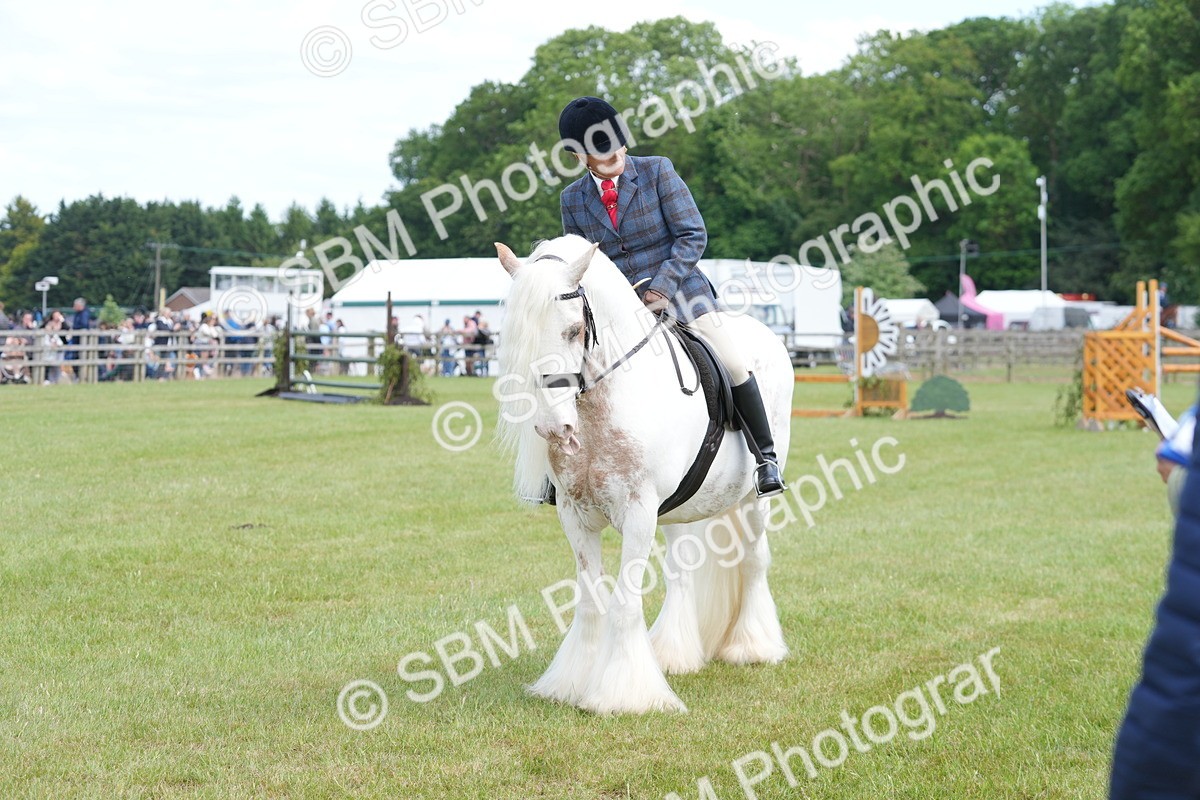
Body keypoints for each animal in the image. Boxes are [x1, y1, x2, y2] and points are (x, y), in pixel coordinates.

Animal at [494, 234, 793, 714]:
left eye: (574, 331)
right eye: (519, 336)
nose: (554, 428)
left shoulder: (637, 512)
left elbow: (623, 605)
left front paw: (624, 694)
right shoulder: (575, 516)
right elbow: (591, 601)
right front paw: (572, 683)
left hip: (751, 499)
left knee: (753, 560)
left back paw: (753, 647)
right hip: (682, 506)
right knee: (681, 571)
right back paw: (674, 654)